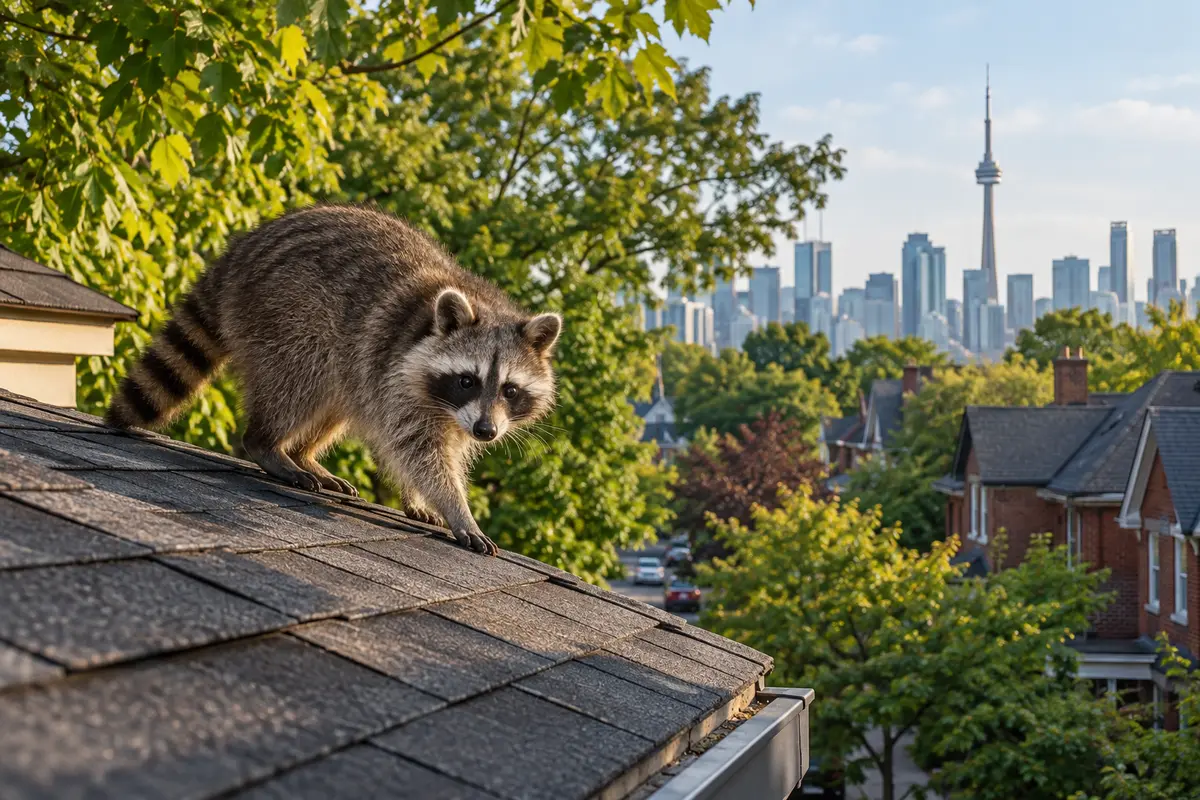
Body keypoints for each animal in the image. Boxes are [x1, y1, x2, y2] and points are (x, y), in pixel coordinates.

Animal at [105, 205, 562, 556]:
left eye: (510, 390)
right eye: (468, 380)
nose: (486, 432)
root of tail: (241, 251)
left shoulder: (443, 405)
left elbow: (440, 448)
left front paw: (419, 497)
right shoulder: (397, 375)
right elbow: (418, 449)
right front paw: (457, 508)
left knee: (336, 400)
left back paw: (303, 453)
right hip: (285, 310)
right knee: (299, 380)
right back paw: (267, 443)